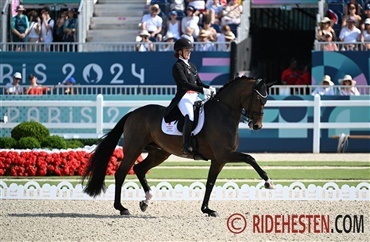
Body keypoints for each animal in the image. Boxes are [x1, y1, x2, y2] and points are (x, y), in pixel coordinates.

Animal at [82, 76, 276, 216]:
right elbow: (250, 158)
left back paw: (146, 201)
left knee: (139, 169)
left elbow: (210, 183)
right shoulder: (224, 155)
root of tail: (133, 113)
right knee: (121, 173)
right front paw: (268, 182)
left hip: (159, 153)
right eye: (258, 99)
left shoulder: (218, 160)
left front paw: (207, 209)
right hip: (134, 149)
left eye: (266, 101)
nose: (257, 126)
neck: (224, 113)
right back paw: (121, 208)